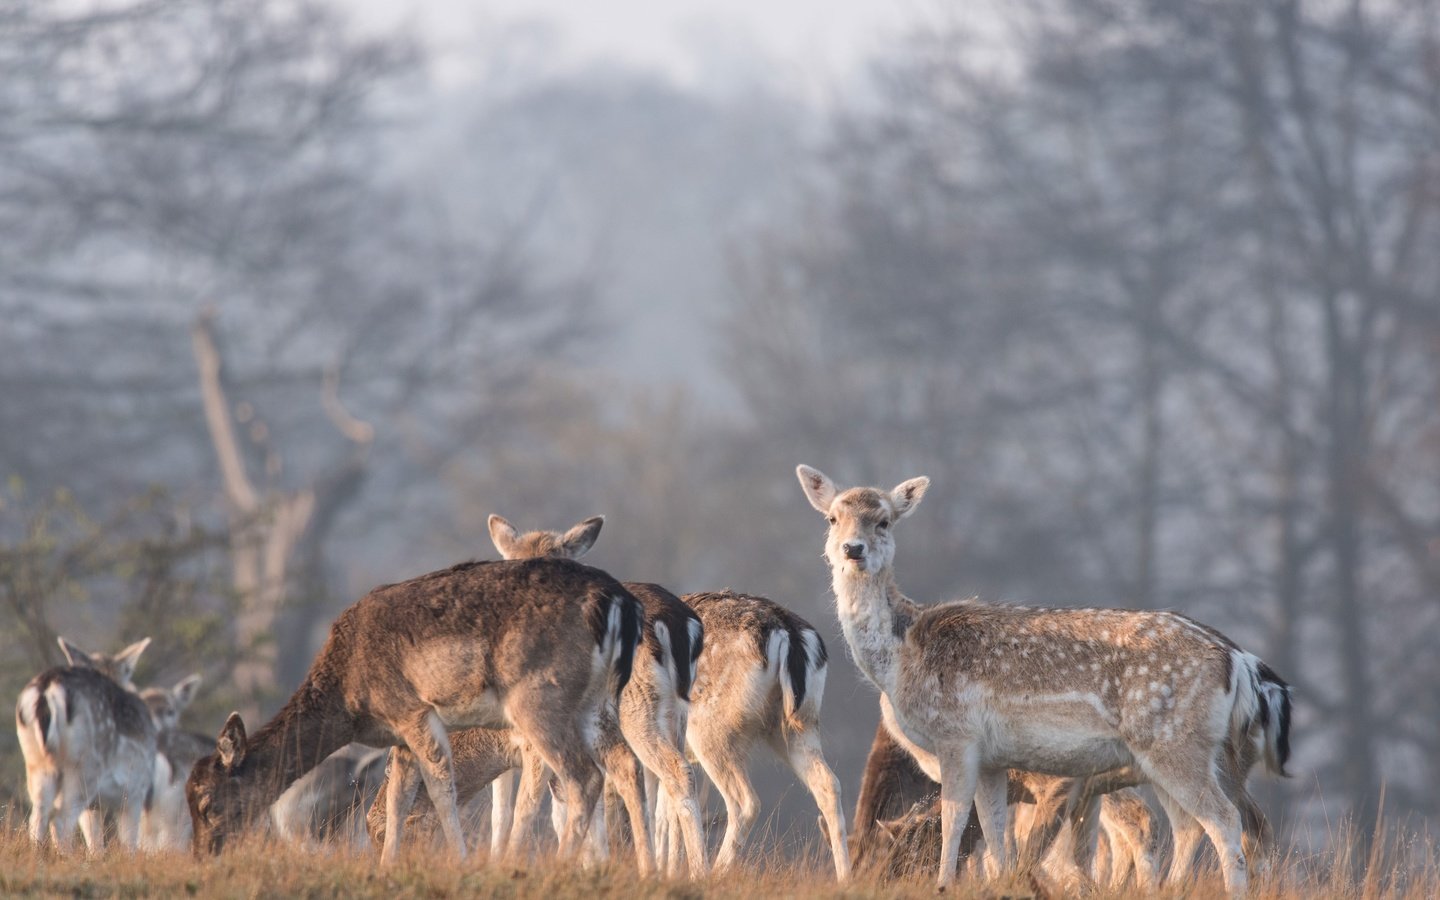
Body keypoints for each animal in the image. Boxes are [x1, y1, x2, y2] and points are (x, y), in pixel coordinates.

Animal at [15, 636, 160, 852]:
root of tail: (47, 688)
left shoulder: (95, 805)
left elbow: (95, 843)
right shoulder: (135, 791)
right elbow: (129, 845)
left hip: (36, 763)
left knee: (38, 816)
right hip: (83, 766)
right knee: (61, 819)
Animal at [184, 555, 642, 864]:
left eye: (207, 804)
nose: (203, 855)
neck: (350, 700)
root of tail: (619, 602)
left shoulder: (411, 711)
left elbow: (439, 787)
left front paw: (460, 861)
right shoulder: (399, 736)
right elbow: (398, 797)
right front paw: (388, 866)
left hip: (540, 701)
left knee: (583, 776)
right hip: (597, 703)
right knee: (625, 764)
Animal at [800, 466, 1296, 892]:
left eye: (883, 520)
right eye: (832, 517)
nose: (853, 549)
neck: (903, 655)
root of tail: (1239, 660)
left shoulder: (956, 734)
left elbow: (956, 820)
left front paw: (943, 885)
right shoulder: (994, 758)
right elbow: (994, 831)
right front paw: (999, 885)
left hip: (1175, 743)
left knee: (1224, 821)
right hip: (1196, 755)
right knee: (1199, 825)